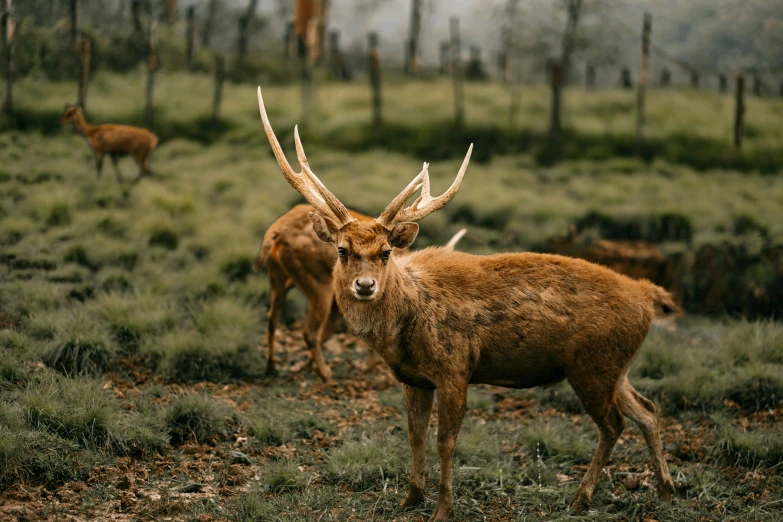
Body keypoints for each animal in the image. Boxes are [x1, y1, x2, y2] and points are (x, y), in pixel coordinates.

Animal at [256, 202, 466, 378]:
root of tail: (277, 235)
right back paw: (326, 375)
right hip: (318, 284)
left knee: (272, 318)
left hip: (278, 277)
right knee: (309, 331)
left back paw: (271, 367)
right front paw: (367, 367)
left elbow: (329, 331)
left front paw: (306, 365)